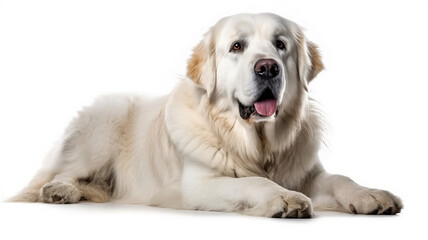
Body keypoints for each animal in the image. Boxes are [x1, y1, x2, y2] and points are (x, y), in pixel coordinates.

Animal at [11, 13, 402, 219]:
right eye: (237, 47)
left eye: (281, 45)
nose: (268, 68)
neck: (256, 142)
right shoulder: (199, 186)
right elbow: (254, 182)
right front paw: (284, 199)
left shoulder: (307, 173)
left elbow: (340, 178)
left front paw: (371, 195)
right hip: (103, 124)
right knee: (64, 172)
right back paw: (59, 190)